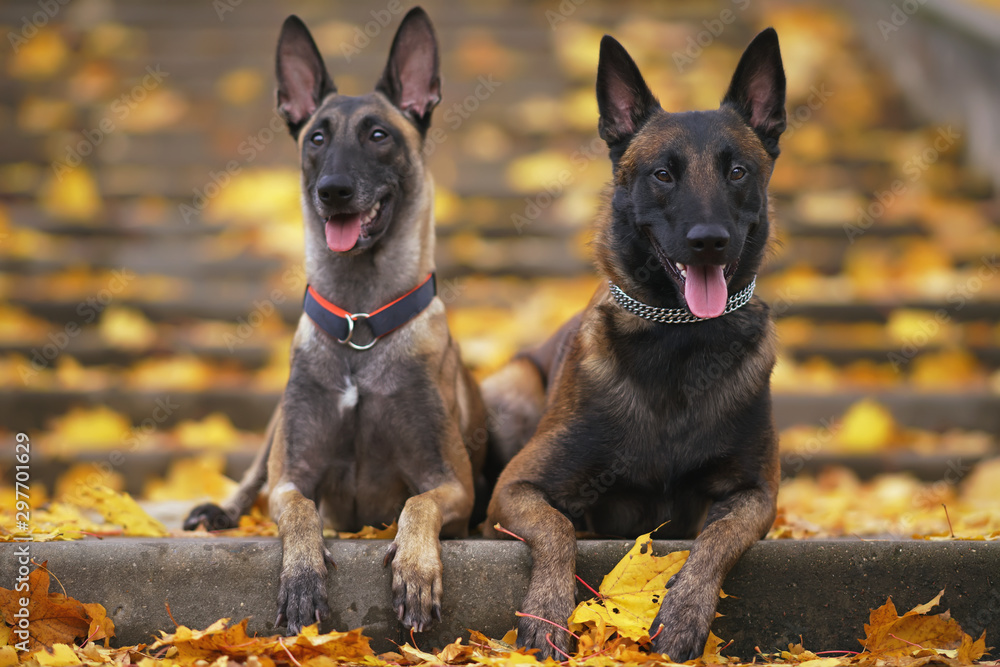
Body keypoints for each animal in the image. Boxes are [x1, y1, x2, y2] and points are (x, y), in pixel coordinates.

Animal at [188, 9, 488, 636]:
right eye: (317, 138)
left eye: (379, 135)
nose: (334, 192)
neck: (361, 321)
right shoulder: (291, 475)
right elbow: (299, 508)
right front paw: (302, 577)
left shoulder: (453, 484)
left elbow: (416, 503)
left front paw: (416, 570)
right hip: (277, 421)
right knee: (250, 479)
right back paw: (219, 511)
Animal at [484, 28, 788, 660]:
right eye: (662, 175)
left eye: (738, 171)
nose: (708, 241)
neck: (679, 342)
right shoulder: (518, 485)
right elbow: (559, 528)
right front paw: (547, 612)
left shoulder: (755, 493)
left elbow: (717, 538)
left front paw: (685, 611)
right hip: (511, 390)